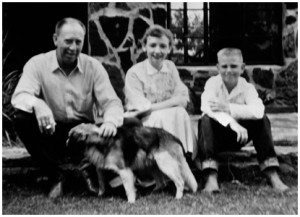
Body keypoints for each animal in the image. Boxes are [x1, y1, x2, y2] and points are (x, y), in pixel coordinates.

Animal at [67, 118, 198, 203]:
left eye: (70, 136)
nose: (66, 142)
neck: (98, 141)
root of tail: (173, 137)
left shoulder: (124, 171)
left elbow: (128, 188)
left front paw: (131, 202)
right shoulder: (100, 168)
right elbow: (101, 184)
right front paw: (100, 195)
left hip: (165, 164)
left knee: (180, 182)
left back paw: (178, 197)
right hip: (152, 165)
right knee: (161, 183)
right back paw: (152, 193)